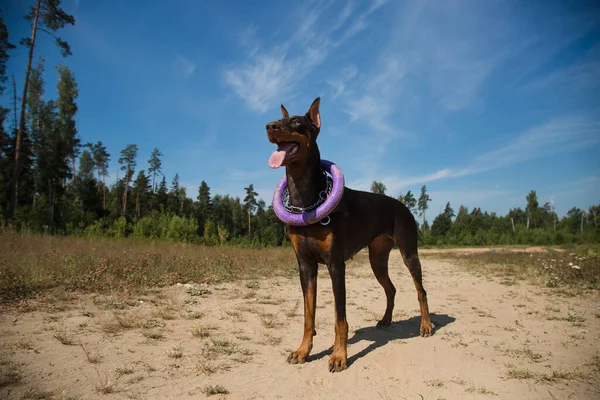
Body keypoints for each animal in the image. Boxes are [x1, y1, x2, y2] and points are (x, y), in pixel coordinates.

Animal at [266, 97, 432, 372]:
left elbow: (339, 317)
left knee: (421, 290)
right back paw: (386, 319)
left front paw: (339, 356)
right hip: (377, 259)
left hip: (409, 252)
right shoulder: (305, 265)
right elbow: (308, 315)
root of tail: (402, 205)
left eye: (297, 122)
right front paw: (303, 351)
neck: (305, 200)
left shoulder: (336, 265)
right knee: (391, 289)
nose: (269, 126)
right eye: (278, 119)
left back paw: (426, 325)